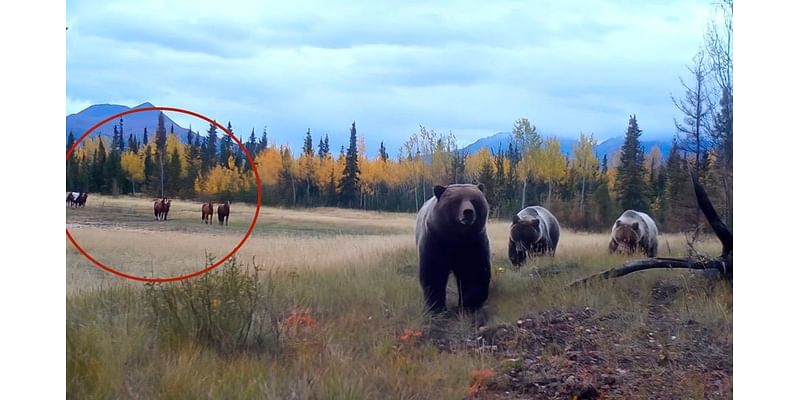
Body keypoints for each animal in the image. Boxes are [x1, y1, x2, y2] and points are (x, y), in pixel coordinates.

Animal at [416, 184, 490, 312]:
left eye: (474, 200)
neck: (456, 237)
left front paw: (468, 304)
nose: (468, 212)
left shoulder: (473, 243)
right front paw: (437, 307)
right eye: (456, 201)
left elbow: (474, 271)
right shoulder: (435, 240)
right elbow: (434, 273)